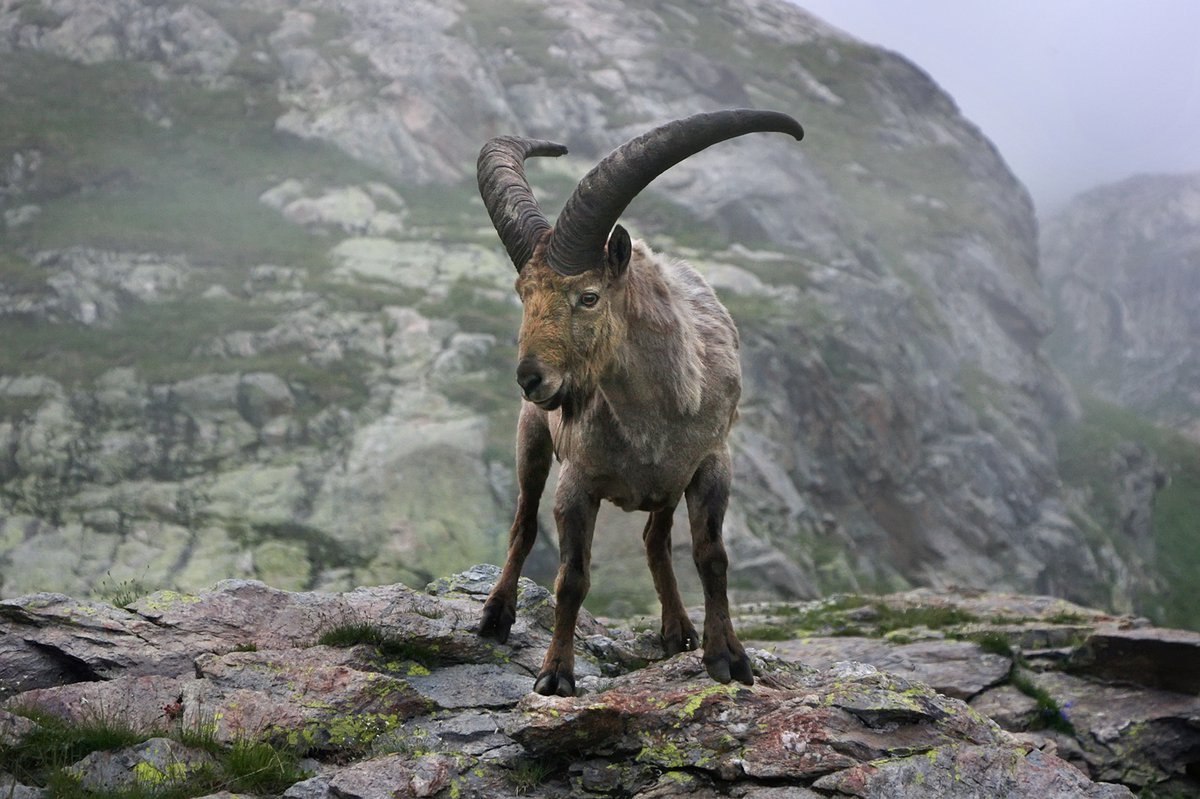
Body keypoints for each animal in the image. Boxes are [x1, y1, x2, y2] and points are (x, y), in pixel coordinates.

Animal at [472, 109, 801, 695]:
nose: (531, 379)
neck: (657, 411)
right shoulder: (577, 480)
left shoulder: (711, 463)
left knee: (654, 537)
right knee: (524, 522)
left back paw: (678, 630)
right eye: (522, 295)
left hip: (666, 487)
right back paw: (496, 615)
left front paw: (729, 658)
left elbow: (712, 558)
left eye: (588, 296)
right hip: (531, 439)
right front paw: (555, 674)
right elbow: (572, 576)